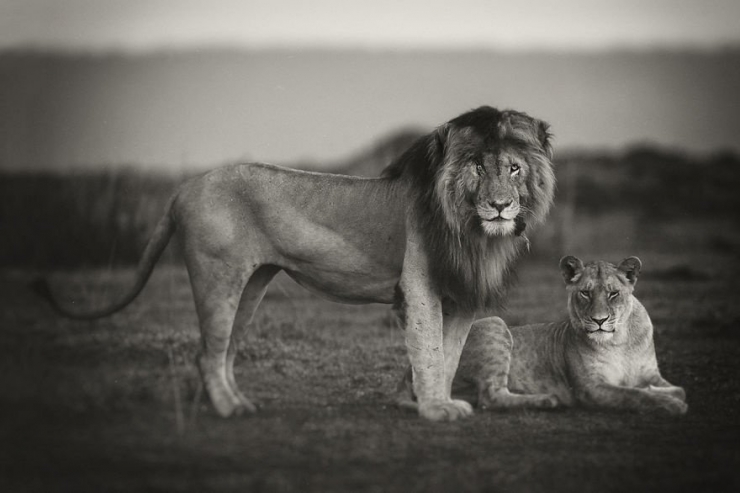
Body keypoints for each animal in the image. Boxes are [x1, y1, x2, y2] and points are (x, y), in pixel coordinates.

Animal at [34, 106, 555, 421]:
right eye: (477, 167)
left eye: (513, 168)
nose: (501, 207)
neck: (472, 233)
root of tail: (183, 188)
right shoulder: (419, 285)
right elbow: (428, 351)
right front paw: (433, 410)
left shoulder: (463, 297)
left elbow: (448, 355)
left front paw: (437, 402)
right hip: (218, 277)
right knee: (207, 352)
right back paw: (229, 410)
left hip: (251, 286)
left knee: (224, 351)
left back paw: (239, 402)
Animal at [398, 256, 688, 415]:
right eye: (585, 293)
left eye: (613, 293)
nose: (599, 320)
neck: (619, 340)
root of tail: (406, 371)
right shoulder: (590, 387)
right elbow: (635, 395)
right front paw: (669, 404)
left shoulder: (650, 372)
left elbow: (678, 389)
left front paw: (666, 393)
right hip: (493, 323)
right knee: (491, 397)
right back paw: (548, 400)